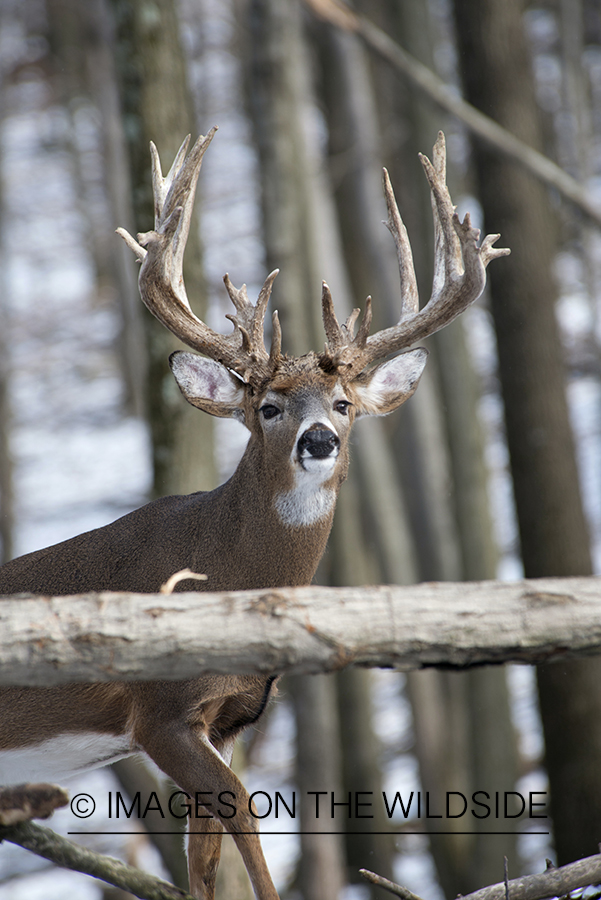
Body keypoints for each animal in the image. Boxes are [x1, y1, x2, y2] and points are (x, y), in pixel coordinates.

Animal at [0, 128, 506, 900]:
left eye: (344, 403)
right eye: (267, 407)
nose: (319, 439)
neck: (224, 575)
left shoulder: (231, 719)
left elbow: (203, 861)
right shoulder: (159, 710)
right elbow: (242, 811)